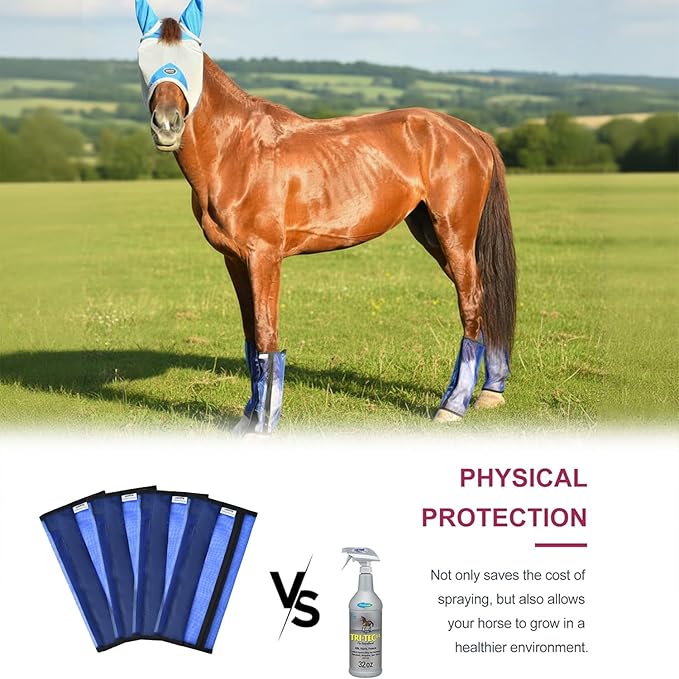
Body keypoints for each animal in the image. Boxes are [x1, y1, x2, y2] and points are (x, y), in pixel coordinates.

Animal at [134, 0, 516, 434]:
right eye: (144, 60)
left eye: (192, 60)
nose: (167, 124)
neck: (238, 150)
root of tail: (469, 132)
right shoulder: (235, 260)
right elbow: (250, 336)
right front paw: (248, 417)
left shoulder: (264, 257)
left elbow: (266, 334)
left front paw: (263, 425)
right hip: (432, 234)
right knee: (484, 301)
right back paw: (490, 393)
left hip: (454, 233)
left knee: (472, 304)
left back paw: (452, 406)